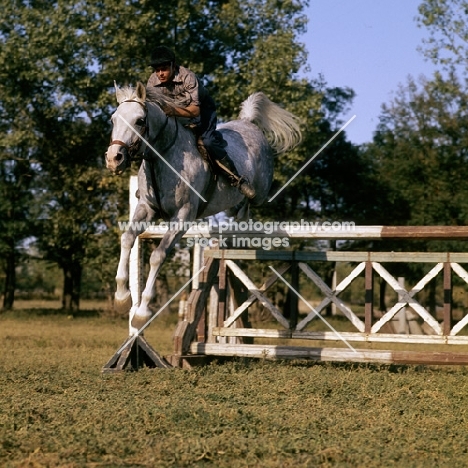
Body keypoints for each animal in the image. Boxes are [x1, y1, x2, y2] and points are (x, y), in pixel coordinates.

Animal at [106, 81, 302, 332]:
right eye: (113, 119)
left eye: (140, 120)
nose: (114, 159)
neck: (162, 156)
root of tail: (248, 122)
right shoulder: (146, 207)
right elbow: (127, 238)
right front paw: (122, 298)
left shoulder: (183, 216)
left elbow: (158, 256)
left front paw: (141, 313)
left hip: (261, 189)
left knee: (252, 200)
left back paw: (243, 207)